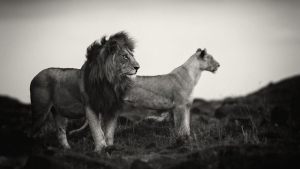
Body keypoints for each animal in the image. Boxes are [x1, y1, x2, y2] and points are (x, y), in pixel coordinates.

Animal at [71, 47, 219, 139]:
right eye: (210, 58)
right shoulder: (179, 106)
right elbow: (180, 125)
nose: (219, 65)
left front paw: (187, 137)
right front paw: (182, 139)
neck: (195, 75)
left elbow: (187, 124)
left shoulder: (187, 106)